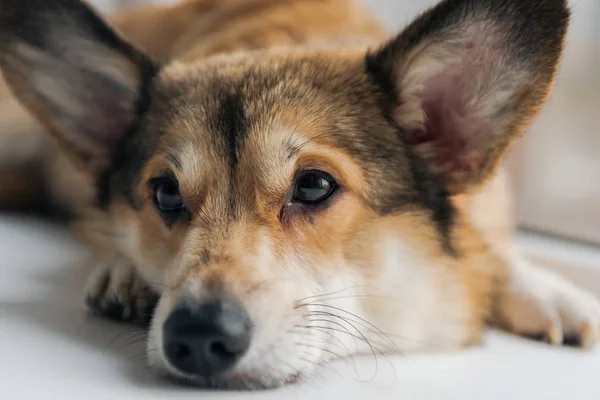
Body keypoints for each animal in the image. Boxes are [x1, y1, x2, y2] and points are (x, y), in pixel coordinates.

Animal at [1, 0, 600, 390]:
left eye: (313, 185)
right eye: (166, 193)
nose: (196, 336)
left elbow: (496, 247)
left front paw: (547, 291)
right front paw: (125, 266)